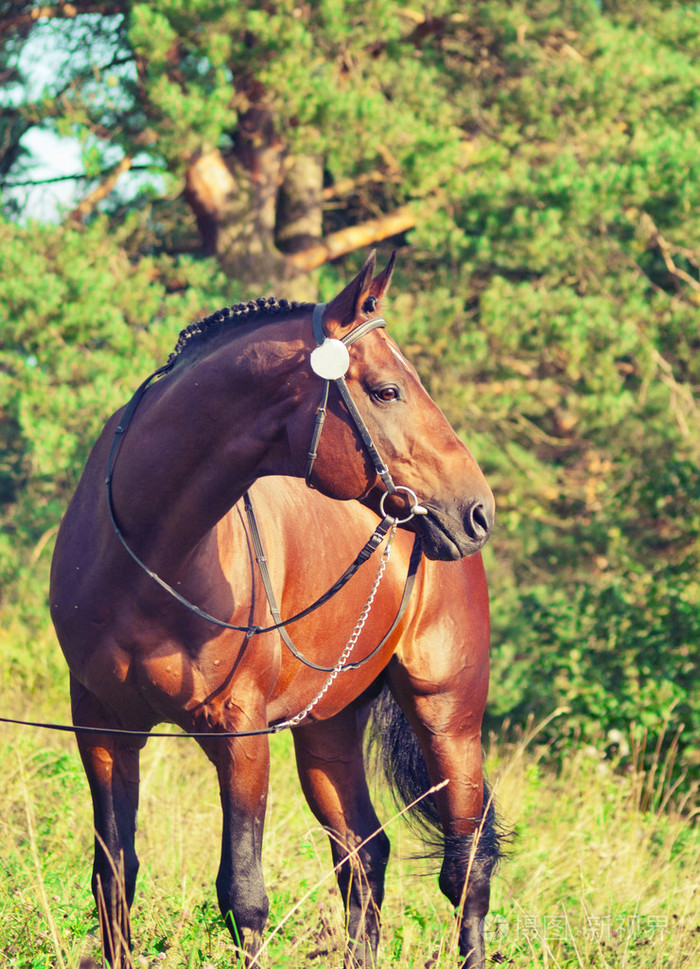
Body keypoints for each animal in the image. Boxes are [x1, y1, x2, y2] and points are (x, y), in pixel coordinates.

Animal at [49, 251, 498, 968]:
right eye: (386, 390)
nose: (477, 510)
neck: (147, 557)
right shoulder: (102, 726)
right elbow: (114, 876)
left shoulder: (241, 735)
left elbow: (243, 894)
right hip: (327, 727)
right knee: (364, 855)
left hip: (448, 715)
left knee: (467, 867)